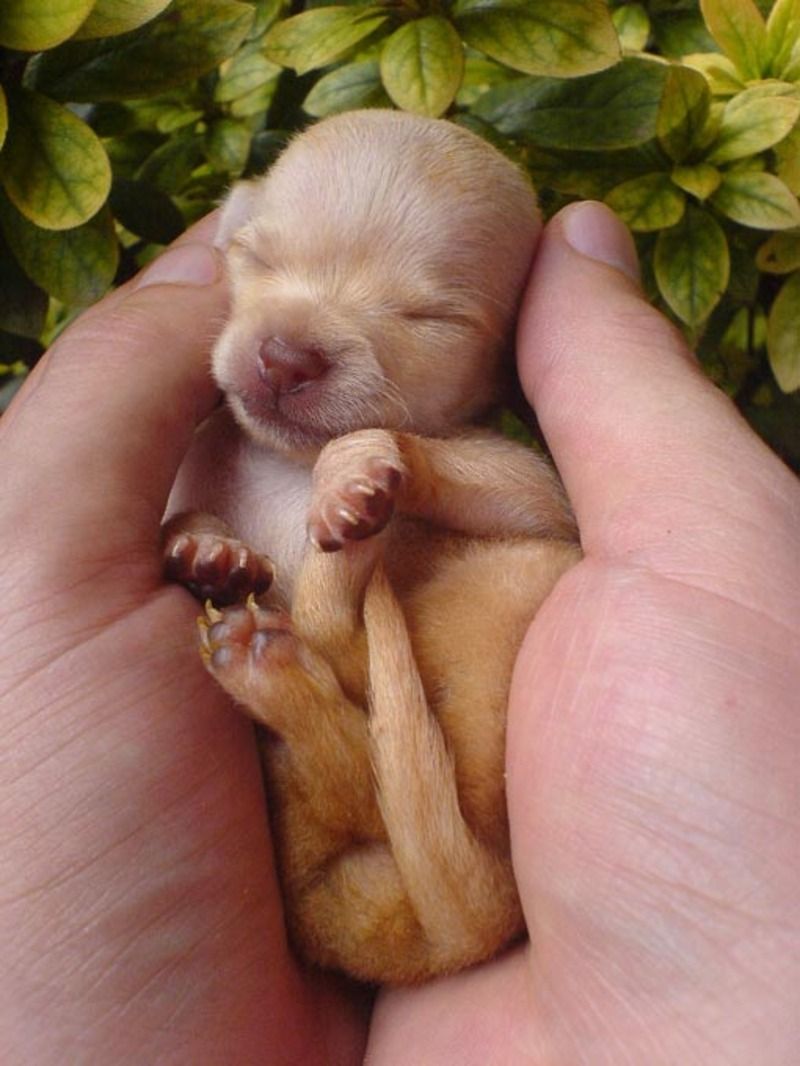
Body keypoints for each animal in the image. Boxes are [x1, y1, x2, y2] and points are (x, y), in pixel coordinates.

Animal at [164, 112, 584, 984]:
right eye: (255, 256)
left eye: (430, 318)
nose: (285, 358)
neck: (285, 460)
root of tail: (469, 932)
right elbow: (179, 510)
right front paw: (203, 550)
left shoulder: (539, 496)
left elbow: (484, 475)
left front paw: (354, 480)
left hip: (517, 581)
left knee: (361, 712)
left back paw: (284, 649)